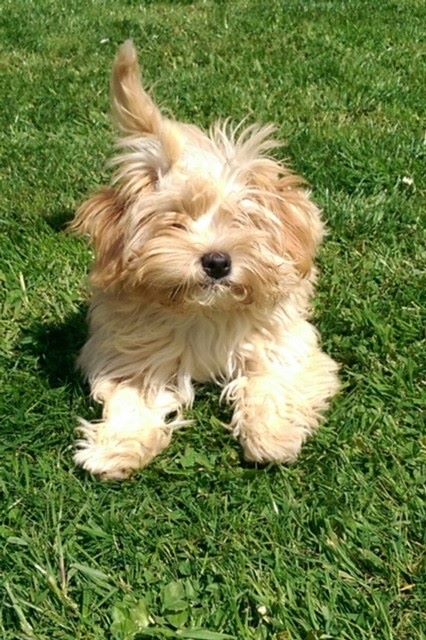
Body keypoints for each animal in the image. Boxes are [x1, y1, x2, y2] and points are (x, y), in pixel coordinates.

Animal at [71, 40, 340, 480]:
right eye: (174, 221)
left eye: (242, 219)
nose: (217, 262)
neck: (204, 311)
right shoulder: (131, 347)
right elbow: (133, 395)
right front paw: (117, 448)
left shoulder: (281, 339)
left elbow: (273, 379)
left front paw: (271, 437)